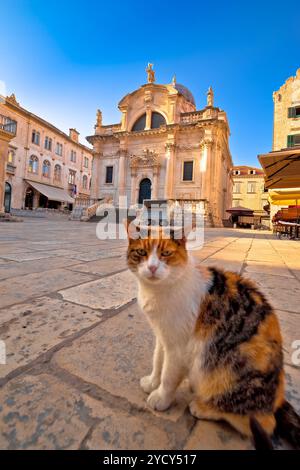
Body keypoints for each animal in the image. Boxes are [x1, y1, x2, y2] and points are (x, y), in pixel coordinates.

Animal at [125, 222, 300, 450]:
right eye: (141, 253)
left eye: (165, 254)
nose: (152, 267)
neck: (158, 292)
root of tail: (276, 400)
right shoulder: (163, 336)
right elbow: (158, 360)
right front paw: (153, 382)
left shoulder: (179, 346)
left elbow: (169, 375)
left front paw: (162, 398)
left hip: (222, 365)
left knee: (263, 422)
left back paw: (202, 407)